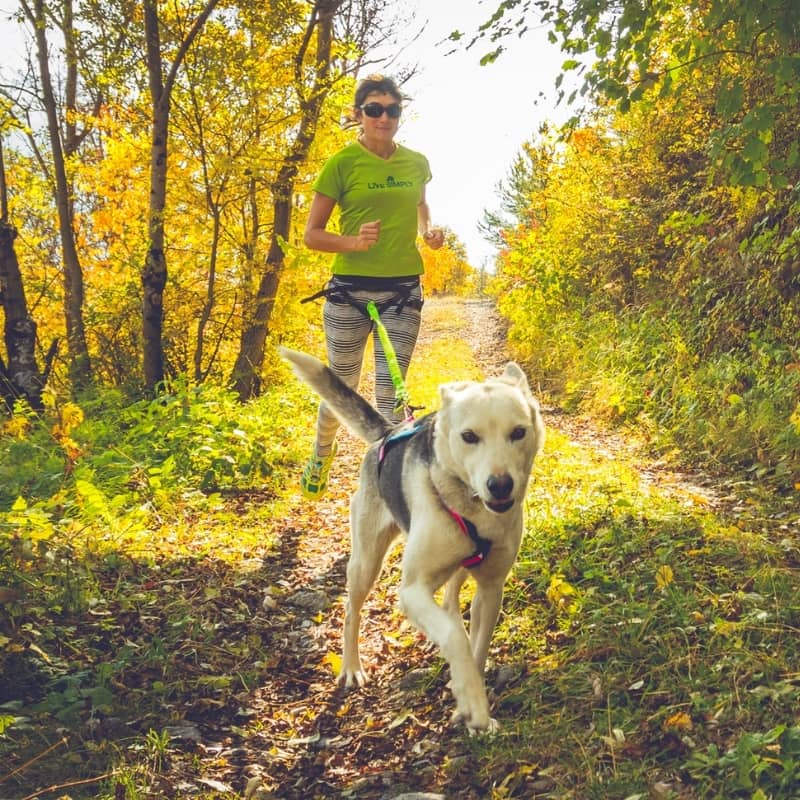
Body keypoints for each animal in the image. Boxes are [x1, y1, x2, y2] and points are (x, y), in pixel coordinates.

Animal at [278, 346, 548, 732]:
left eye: (518, 432)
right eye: (469, 436)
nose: (500, 485)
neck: (471, 508)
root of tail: (389, 430)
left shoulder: (491, 588)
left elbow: (476, 647)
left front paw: (471, 700)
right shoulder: (412, 591)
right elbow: (453, 636)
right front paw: (472, 700)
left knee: (451, 601)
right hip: (365, 564)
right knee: (352, 611)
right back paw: (352, 666)